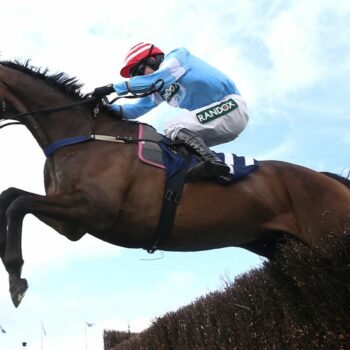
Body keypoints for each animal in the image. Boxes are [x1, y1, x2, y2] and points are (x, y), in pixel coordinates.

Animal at [0, 60, 348, 306]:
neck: (84, 136)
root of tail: (326, 178)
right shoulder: (72, 224)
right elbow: (11, 196)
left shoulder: (94, 210)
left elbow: (18, 204)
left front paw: (16, 279)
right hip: (281, 247)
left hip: (328, 236)